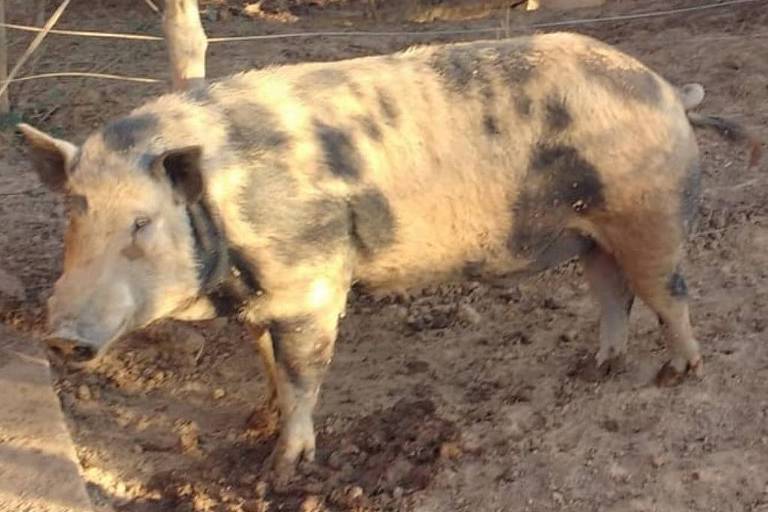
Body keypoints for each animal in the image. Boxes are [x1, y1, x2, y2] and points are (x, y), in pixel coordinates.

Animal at [19, 33, 760, 480]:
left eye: (142, 222)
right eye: (75, 215)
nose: (59, 337)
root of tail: (666, 89)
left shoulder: (311, 284)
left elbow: (304, 372)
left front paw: (283, 468)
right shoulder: (263, 298)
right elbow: (267, 361)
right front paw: (259, 422)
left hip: (648, 216)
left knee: (669, 294)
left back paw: (674, 376)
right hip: (591, 234)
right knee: (614, 294)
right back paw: (591, 368)